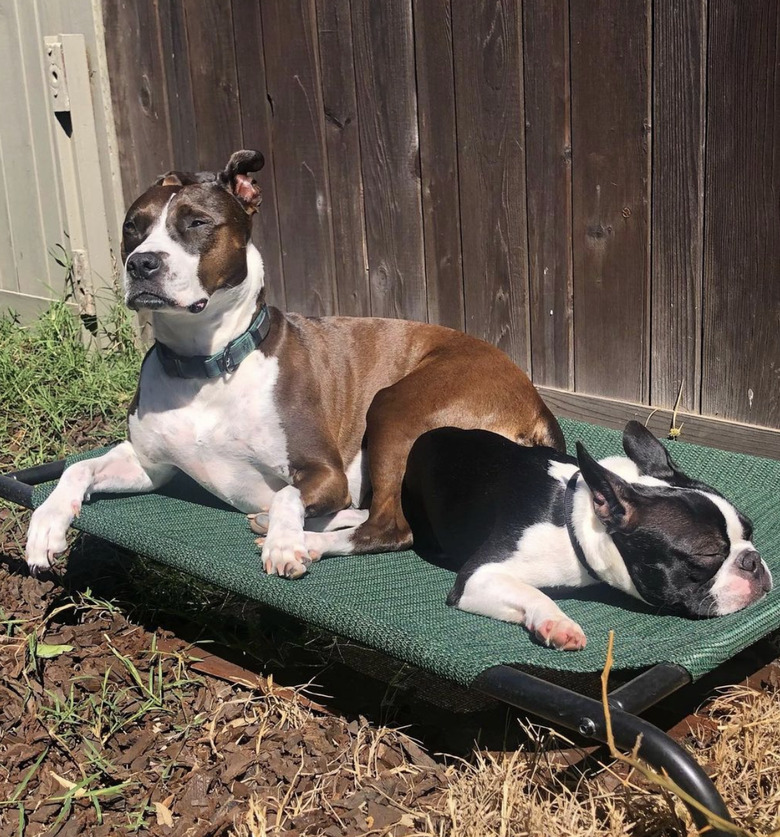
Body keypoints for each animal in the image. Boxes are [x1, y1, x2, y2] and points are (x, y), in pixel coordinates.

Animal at [24, 150, 560, 580]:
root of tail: (534, 400)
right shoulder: (149, 467)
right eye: (132, 226)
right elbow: (78, 468)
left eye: (196, 223)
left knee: (390, 524)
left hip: (396, 407)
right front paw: (46, 525)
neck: (205, 364)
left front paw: (286, 542)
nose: (141, 263)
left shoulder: (323, 471)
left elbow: (287, 493)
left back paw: (311, 538)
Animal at [406, 422, 772, 648]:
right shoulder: (476, 577)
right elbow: (533, 593)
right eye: (707, 554)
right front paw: (556, 622)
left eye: (750, 531)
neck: (576, 519)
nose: (752, 560)